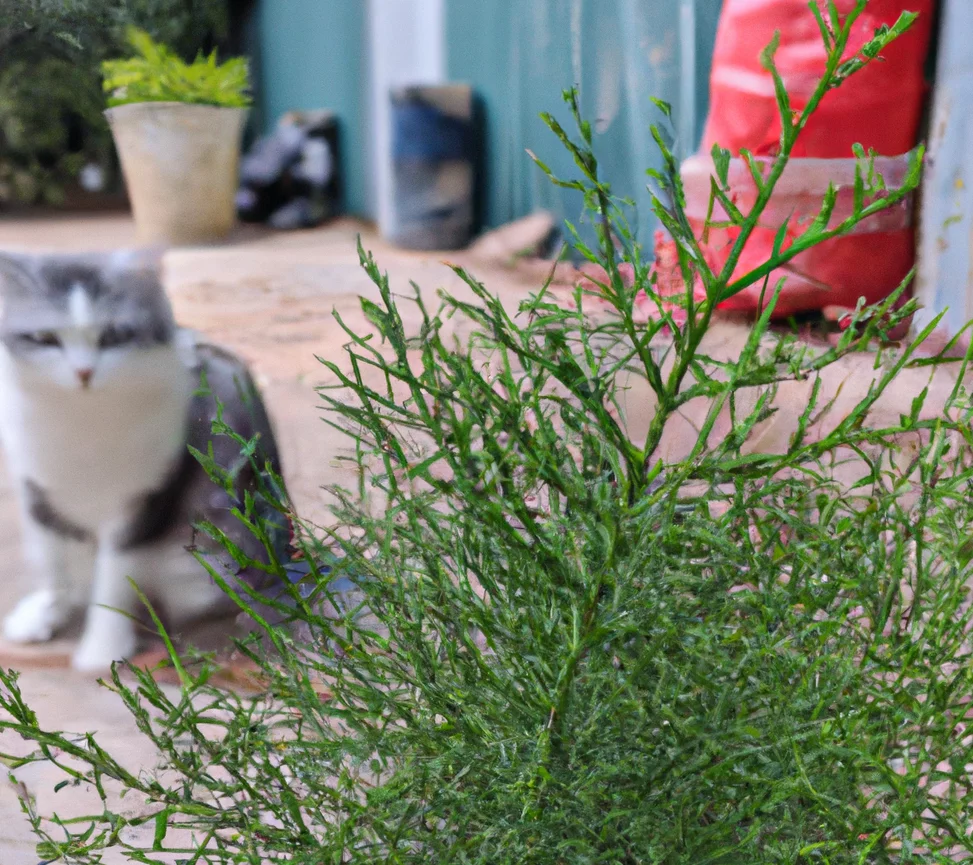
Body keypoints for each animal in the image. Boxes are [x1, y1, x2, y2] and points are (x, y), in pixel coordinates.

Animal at [0, 246, 288, 672]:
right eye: (45, 338)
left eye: (114, 335)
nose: (83, 372)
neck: (81, 415)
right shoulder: (35, 485)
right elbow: (50, 558)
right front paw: (45, 610)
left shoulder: (145, 499)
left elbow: (115, 577)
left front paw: (102, 647)